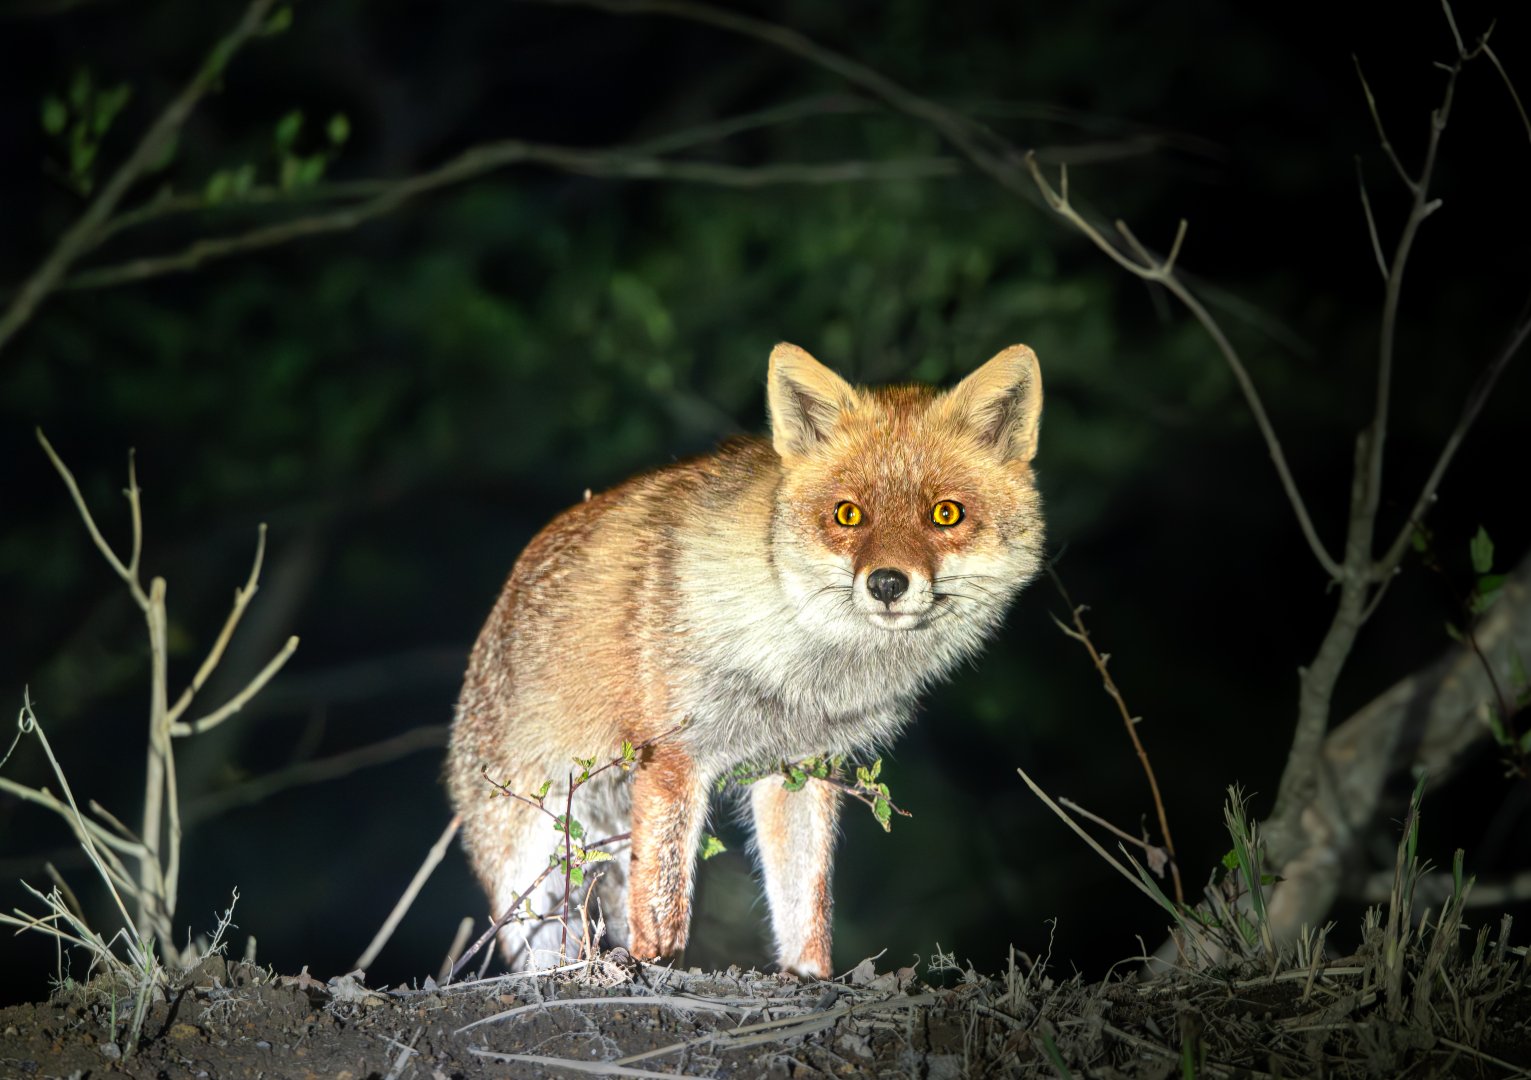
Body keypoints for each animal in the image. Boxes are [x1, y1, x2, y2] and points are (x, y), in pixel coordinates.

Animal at [447, 341, 1045, 977]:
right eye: (848, 515)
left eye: (946, 514)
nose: (886, 583)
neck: (803, 665)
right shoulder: (673, 756)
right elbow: (662, 909)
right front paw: (657, 971)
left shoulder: (801, 766)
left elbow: (806, 907)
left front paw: (809, 980)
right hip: (535, 873)